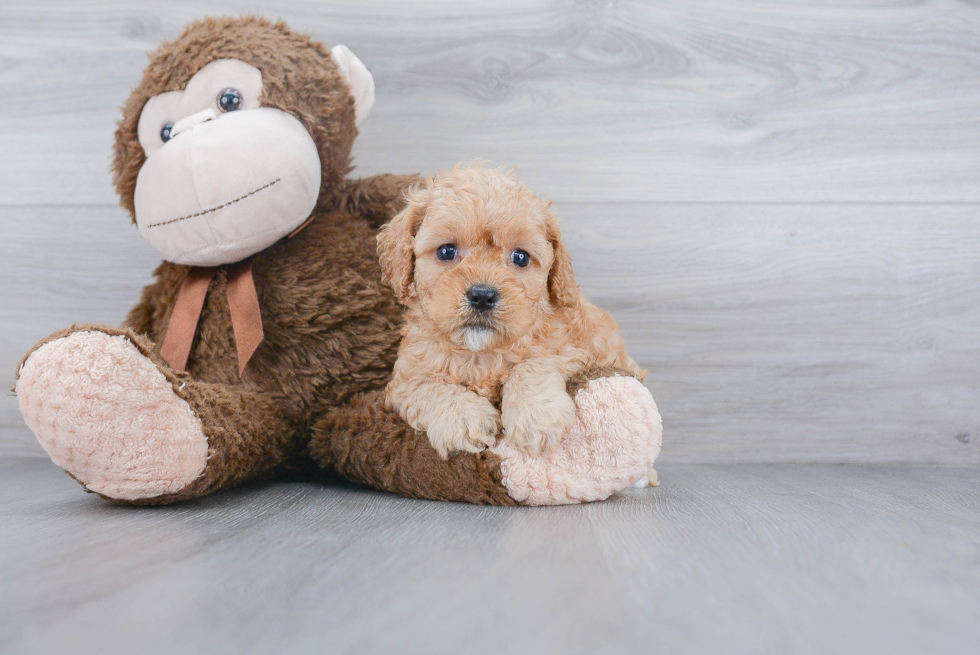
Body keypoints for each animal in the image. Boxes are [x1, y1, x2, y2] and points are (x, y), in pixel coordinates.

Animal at [378, 167, 648, 458]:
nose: (482, 296)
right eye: (446, 251)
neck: (482, 353)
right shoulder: (404, 378)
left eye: (521, 257)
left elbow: (533, 365)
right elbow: (426, 385)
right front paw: (464, 417)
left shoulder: (573, 351)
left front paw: (535, 416)